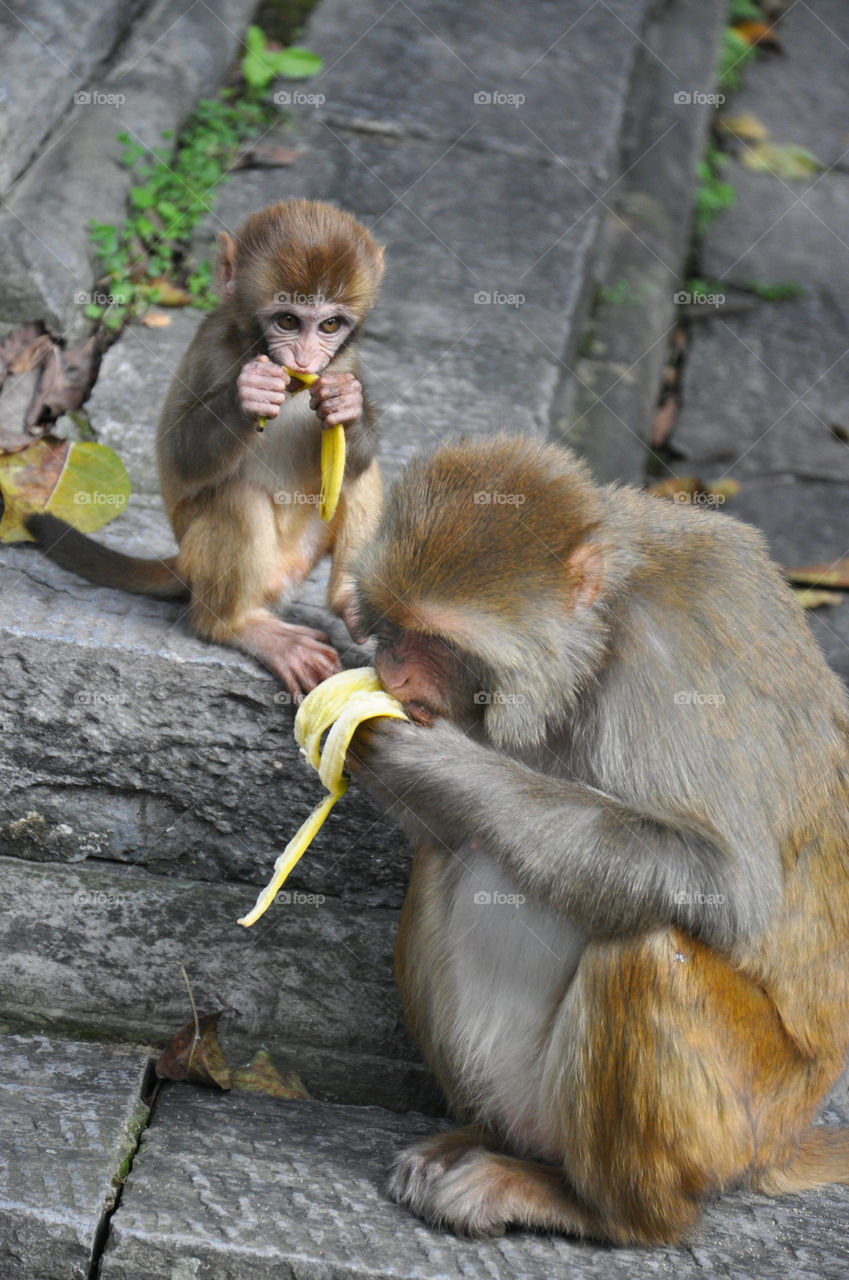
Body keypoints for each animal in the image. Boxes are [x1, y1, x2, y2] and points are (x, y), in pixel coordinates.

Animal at [26, 200, 384, 701]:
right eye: (288, 321)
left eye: (330, 324)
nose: (305, 361)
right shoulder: (211, 348)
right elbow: (179, 455)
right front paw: (247, 396)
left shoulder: (345, 361)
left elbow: (359, 457)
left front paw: (347, 405)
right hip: (219, 562)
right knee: (236, 500)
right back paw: (238, 627)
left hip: (306, 552)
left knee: (358, 476)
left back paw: (349, 600)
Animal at [350, 435, 849, 1244]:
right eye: (390, 624)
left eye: (433, 639)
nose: (391, 673)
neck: (599, 640)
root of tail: (781, 1142)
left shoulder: (675, 658)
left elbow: (724, 882)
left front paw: (436, 763)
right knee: (451, 852)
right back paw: (487, 1141)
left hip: (740, 1121)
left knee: (644, 950)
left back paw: (598, 1211)